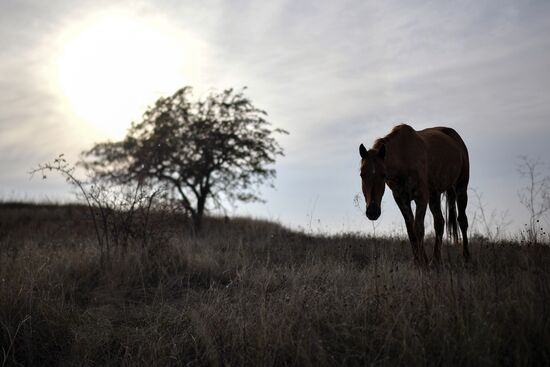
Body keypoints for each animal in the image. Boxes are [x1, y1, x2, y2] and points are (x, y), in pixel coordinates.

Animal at [360, 125, 472, 266]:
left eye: (383, 175)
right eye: (362, 174)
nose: (373, 212)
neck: (404, 157)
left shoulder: (421, 197)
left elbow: (418, 229)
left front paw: (423, 265)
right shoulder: (401, 199)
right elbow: (411, 230)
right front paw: (419, 262)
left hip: (461, 188)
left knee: (462, 221)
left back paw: (466, 258)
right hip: (434, 195)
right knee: (439, 222)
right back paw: (435, 261)